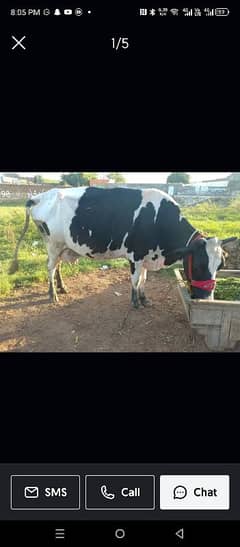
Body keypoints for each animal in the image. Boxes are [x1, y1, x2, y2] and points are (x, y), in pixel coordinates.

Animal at [9, 186, 236, 306]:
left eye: (221, 266)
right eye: (198, 266)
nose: (207, 299)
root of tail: (38, 197)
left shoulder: (147, 257)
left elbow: (144, 279)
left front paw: (144, 299)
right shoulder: (136, 255)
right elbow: (135, 279)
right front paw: (135, 302)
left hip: (63, 246)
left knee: (57, 267)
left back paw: (62, 288)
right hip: (53, 244)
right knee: (50, 267)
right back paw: (53, 294)